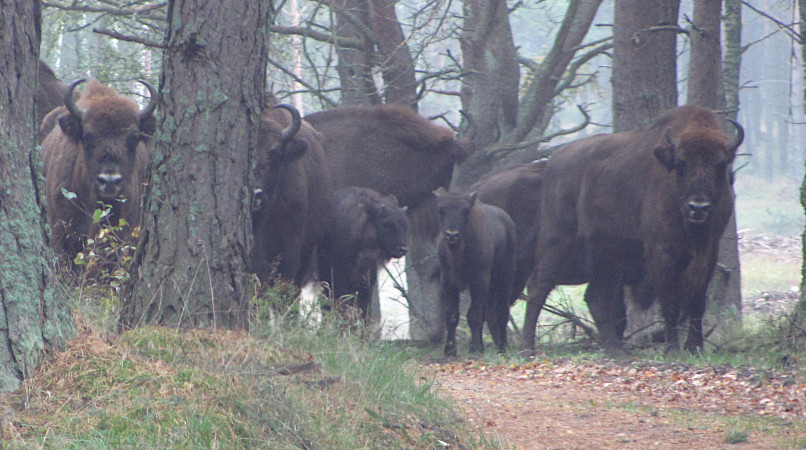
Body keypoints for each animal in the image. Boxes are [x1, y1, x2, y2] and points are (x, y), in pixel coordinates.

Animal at [436, 186, 516, 356]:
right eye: (441, 210)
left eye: (466, 210)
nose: (452, 235)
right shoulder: (448, 283)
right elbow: (452, 315)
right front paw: (449, 351)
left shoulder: (479, 281)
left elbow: (473, 315)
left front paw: (473, 349)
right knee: (487, 312)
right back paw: (483, 347)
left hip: (505, 279)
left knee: (502, 311)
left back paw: (502, 347)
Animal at [524, 103, 744, 354]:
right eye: (681, 163)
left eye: (720, 164)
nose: (698, 207)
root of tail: (553, 161)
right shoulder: (662, 251)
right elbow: (670, 302)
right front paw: (672, 348)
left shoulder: (708, 251)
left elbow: (696, 301)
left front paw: (694, 347)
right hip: (559, 241)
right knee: (538, 286)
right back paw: (527, 347)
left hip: (608, 259)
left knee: (596, 297)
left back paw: (615, 350)